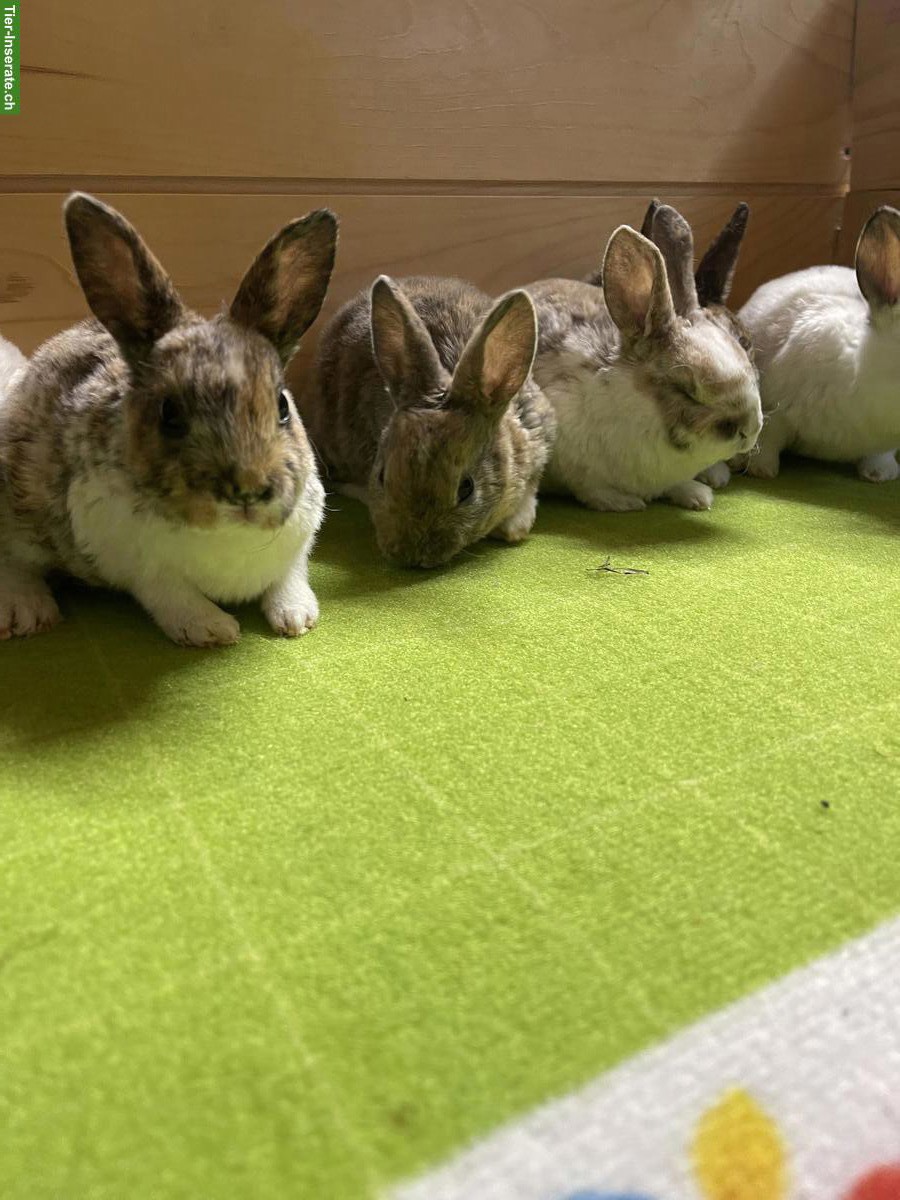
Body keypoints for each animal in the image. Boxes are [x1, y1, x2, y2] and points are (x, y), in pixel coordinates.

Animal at [0, 193, 337, 646]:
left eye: (282, 405)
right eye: (170, 414)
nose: (248, 490)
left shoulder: (301, 539)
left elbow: (290, 576)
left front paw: (297, 617)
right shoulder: (134, 562)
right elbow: (171, 595)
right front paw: (213, 630)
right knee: (13, 561)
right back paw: (28, 611)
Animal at [526, 205, 762, 513]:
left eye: (745, 349)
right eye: (688, 392)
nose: (751, 429)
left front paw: (697, 495)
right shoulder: (568, 451)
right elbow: (589, 487)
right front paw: (622, 501)